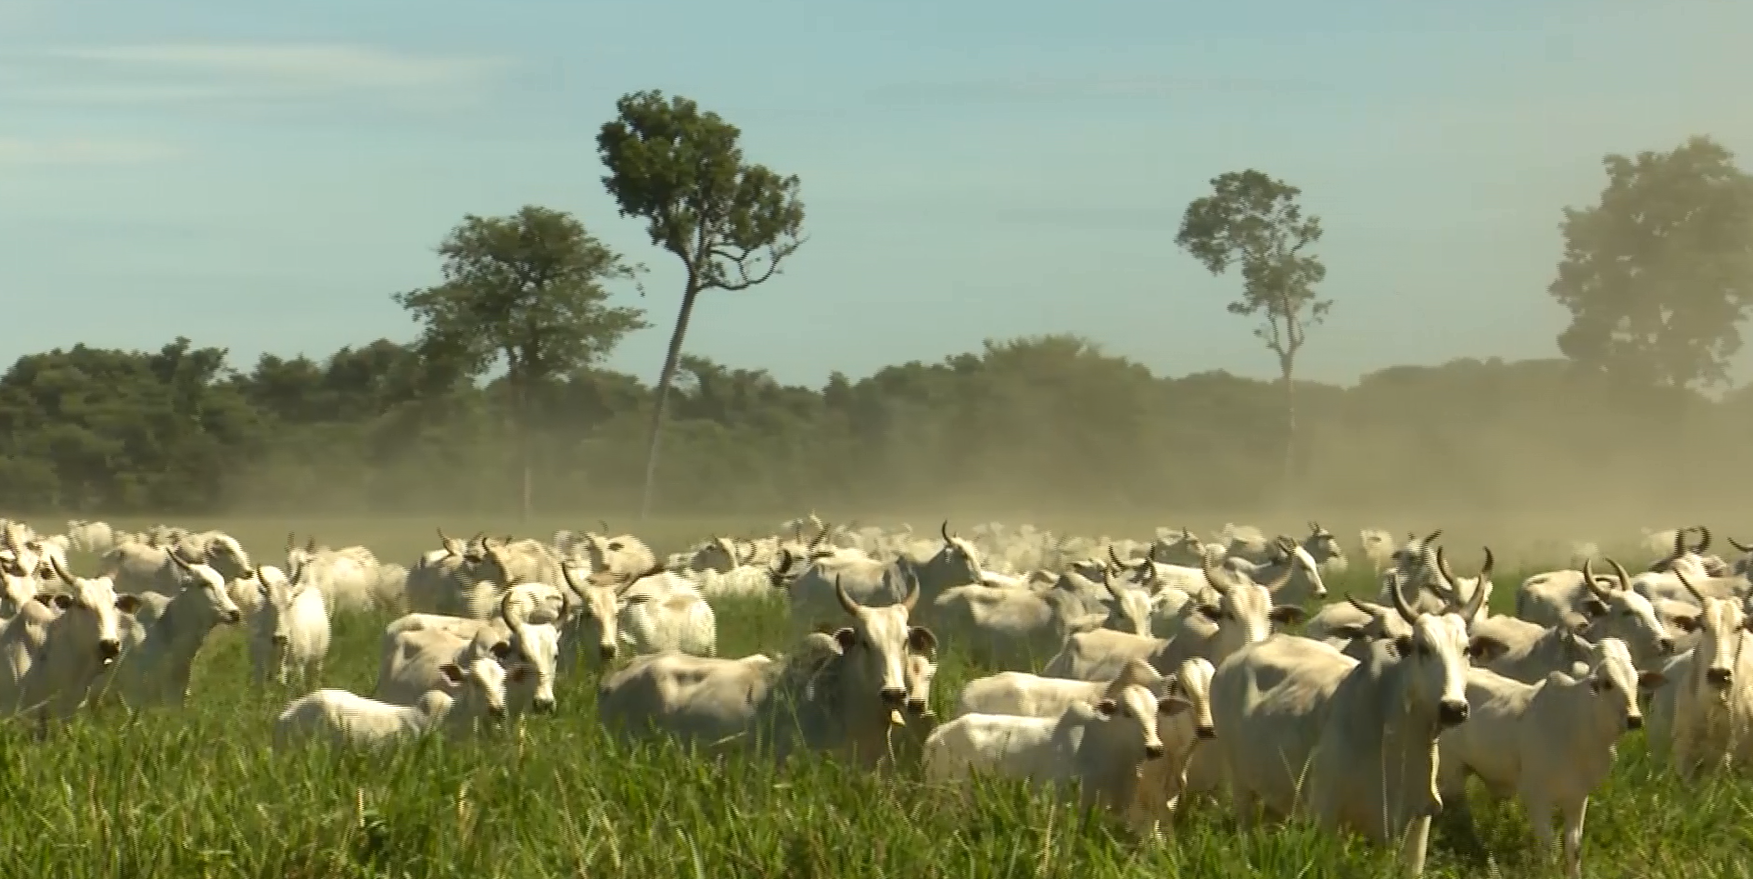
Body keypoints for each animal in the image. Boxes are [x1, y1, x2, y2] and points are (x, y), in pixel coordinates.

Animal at [1213, 564, 1486, 873]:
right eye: (1423, 648)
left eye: (1466, 650)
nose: (1454, 708)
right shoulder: (1326, 817)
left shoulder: (1416, 822)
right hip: (1241, 788)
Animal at [1437, 638, 1654, 877]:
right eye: (1607, 683)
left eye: (1636, 680)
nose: (1634, 719)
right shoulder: (1536, 796)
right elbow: (1549, 848)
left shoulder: (1577, 797)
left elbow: (1574, 847)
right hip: (1452, 771)